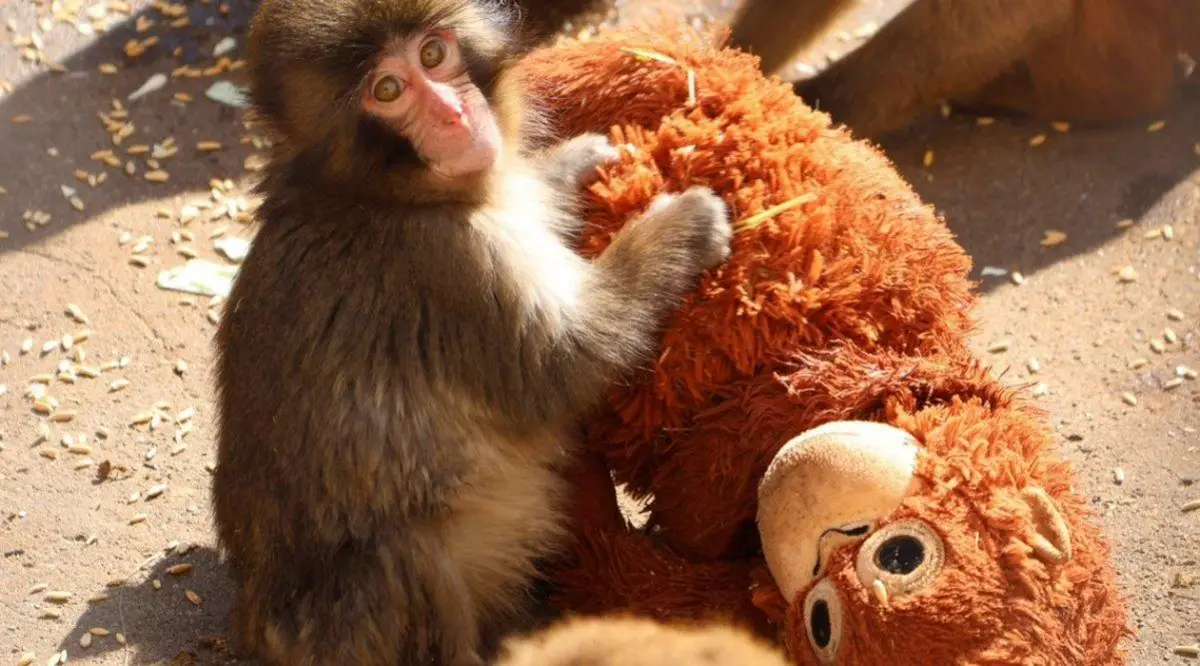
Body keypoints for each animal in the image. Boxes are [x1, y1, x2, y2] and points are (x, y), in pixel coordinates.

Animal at [209, 0, 734, 664]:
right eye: (388, 90)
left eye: (433, 54)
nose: (455, 115)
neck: (378, 194)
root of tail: (250, 624)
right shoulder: (450, 264)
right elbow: (565, 364)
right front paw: (682, 227)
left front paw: (569, 163)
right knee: (400, 553)